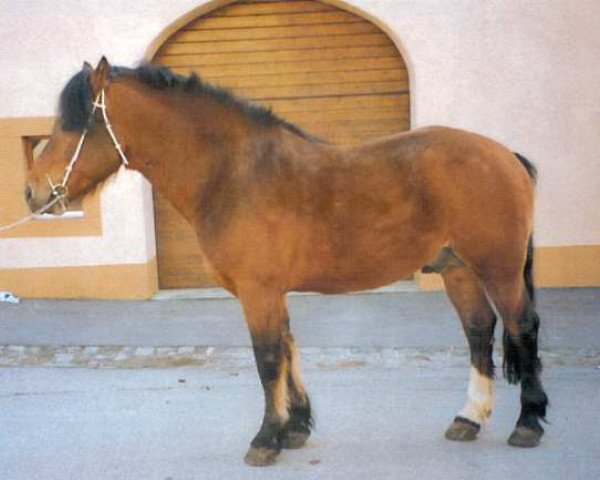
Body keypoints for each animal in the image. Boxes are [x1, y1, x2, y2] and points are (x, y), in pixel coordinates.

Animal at [24, 58, 548, 466]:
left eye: (75, 124)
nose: (32, 193)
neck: (233, 174)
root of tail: (505, 155)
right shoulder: (272, 291)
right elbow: (289, 349)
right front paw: (295, 427)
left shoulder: (258, 291)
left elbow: (268, 358)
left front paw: (266, 439)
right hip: (458, 269)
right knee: (479, 329)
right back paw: (468, 418)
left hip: (497, 268)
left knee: (521, 326)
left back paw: (528, 423)